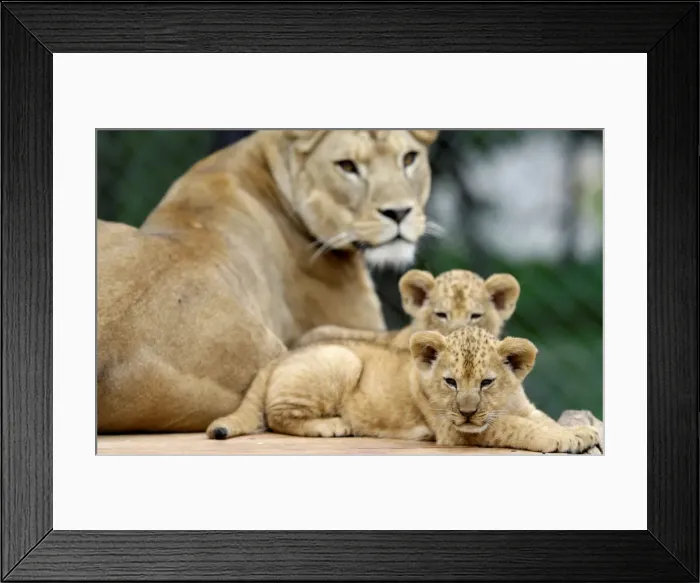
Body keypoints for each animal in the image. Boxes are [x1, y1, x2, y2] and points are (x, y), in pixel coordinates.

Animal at [206, 327, 600, 454]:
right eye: (450, 382)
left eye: (486, 382)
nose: (467, 411)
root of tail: (278, 358)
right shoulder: (458, 432)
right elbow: (521, 429)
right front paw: (564, 439)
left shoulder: (520, 408)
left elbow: (541, 419)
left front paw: (580, 430)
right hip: (343, 359)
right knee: (277, 416)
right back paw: (331, 425)